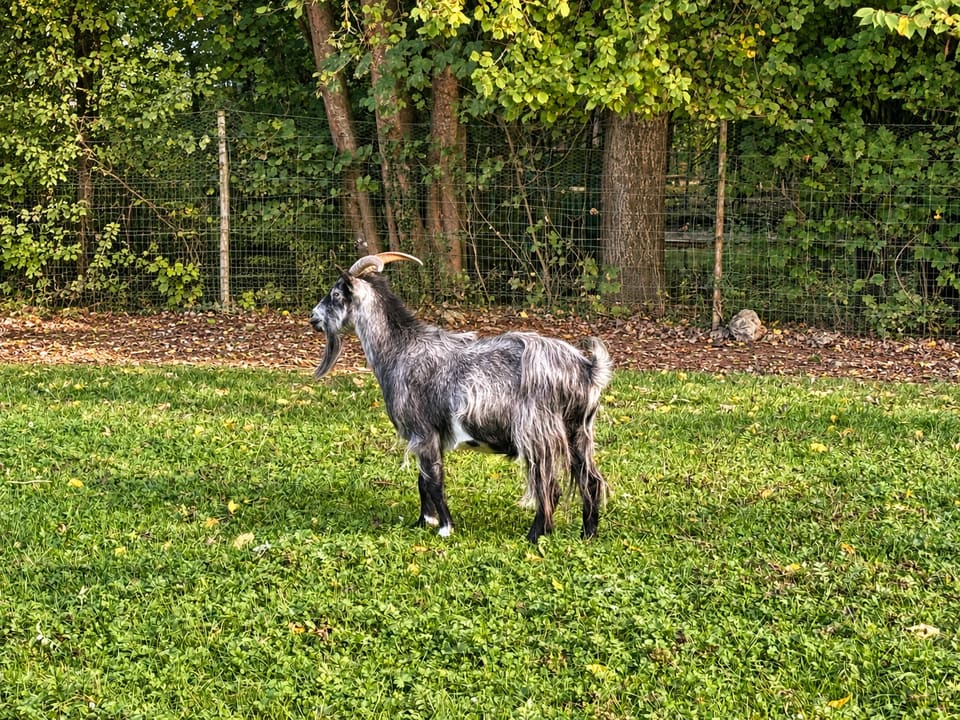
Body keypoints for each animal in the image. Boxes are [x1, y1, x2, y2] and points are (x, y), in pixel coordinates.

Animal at [310, 252, 612, 542]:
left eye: (336, 294)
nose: (313, 318)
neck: (400, 350)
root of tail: (587, 369)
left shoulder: (422, 430)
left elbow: (434, 482)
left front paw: (445, 527)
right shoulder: (432, 436)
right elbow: (423, 480)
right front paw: (423, 522)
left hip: (538, 432)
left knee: (550, 487)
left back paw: (535, 535)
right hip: (577, 431)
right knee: (591, 480)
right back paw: (588, 534)